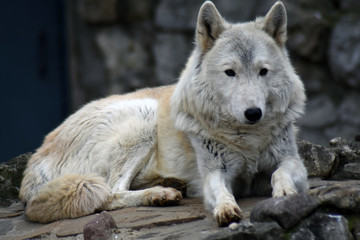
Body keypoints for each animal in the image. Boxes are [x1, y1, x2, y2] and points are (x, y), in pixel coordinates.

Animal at [19, 0, 308, 227]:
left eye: (263, 71)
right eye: (230, 72)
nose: (253, 113)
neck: (248, 139)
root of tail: (36, 158)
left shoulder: (291, 160)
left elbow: (279, 173)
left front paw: (286, 193)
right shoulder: (215, 171)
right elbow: (220, 191)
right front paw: (225, 208)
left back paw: (169, 185)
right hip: (143, 118)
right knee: (111, 193)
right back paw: (161, 194)